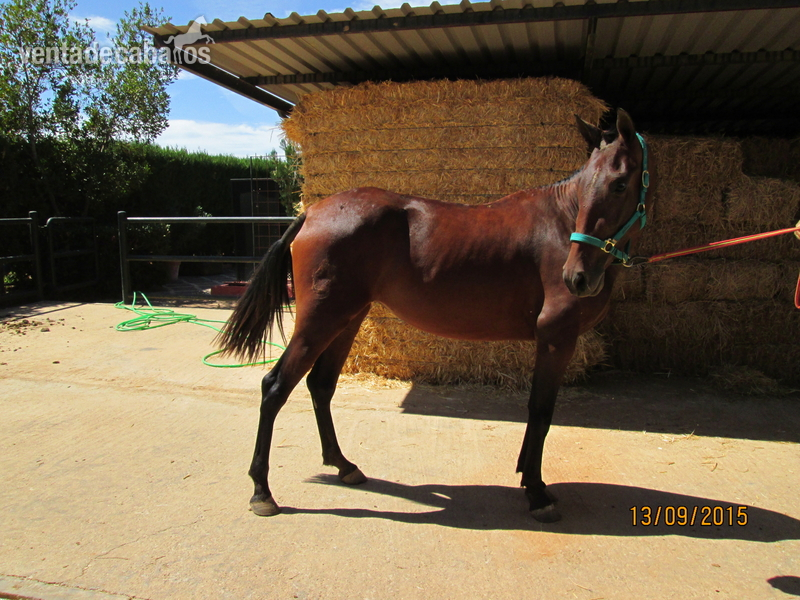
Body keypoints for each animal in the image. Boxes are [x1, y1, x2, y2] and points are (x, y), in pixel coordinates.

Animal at [217, 109, 653, 523]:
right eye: (589, 185)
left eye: (618, 184)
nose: (576, 277)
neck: (560, 224)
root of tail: (312, 213)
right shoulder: (555, 338)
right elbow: (541, 411)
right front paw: (536, 491)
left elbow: (537, 412)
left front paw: (528, 478)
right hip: (318, 322)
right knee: (275, 387)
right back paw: (262, 491)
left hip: (346, 319)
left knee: (321, 386)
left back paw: (343, 466)